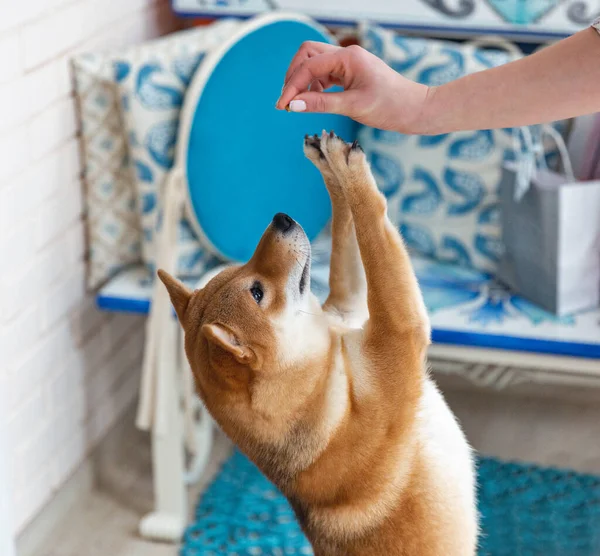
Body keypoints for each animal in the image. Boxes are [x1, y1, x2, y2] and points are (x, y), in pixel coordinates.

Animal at [159, 132, 478, 552]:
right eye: (257, 293)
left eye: (243, 268)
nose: (281, 218)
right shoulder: (397, 330)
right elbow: (373, 228)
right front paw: (352, 172)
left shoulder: (348, 306)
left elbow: (348, 235)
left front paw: (330, 161)